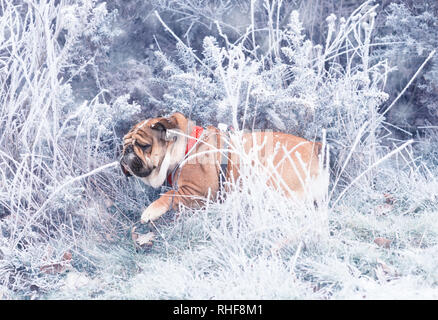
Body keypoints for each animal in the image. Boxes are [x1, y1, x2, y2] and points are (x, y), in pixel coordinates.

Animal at [120, 114, 322, 231]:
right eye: (124, 144)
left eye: (143, 145)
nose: (126, 152)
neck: (187, 147)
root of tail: (314, 147)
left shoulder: (199, 192)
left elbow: (169, 194)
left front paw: (150, 211)